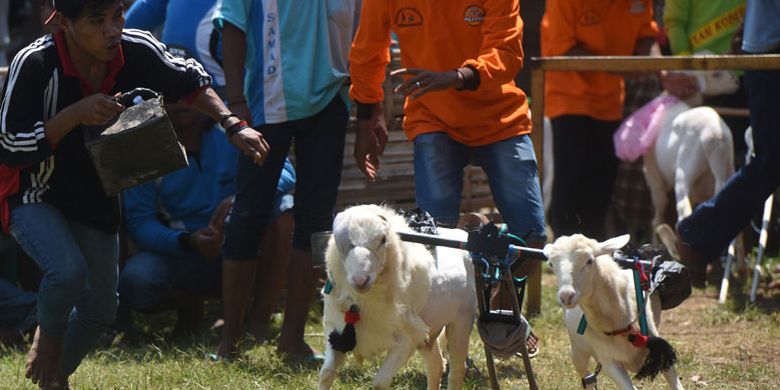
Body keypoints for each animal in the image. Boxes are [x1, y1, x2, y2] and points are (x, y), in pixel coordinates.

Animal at [316, 204, 476, 390]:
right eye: (341, 240)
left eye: (383, 239)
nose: (361, 280)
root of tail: (458, 232)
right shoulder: (334, 330)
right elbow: (326, 373)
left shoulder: (405, 340)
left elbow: (380, 383)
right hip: (429, 331)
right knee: (436, 365)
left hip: (461, 322)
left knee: (457, 370)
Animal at [544, 233, 684, 388]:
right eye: (551, 264)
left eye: (589, 260)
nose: (566, 296)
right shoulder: (609, 362)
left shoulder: (660, 351)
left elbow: (676, 384)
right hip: (578, 351)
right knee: (588, 379)